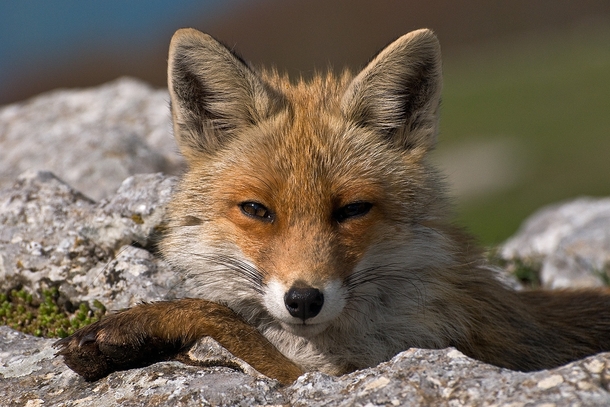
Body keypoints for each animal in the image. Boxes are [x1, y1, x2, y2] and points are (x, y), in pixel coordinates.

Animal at [54, 27, 608, 386]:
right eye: (257, 210)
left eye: (353, 210)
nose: (303, 300)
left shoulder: (342, 375)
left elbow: (224, 319)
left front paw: (138, 325)